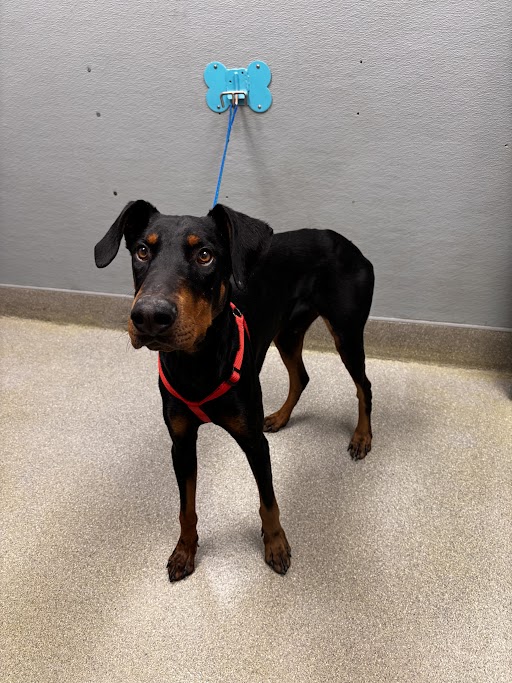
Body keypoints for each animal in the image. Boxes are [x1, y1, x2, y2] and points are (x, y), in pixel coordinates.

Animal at [94, 201, 374, 580]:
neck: (196, 365)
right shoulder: (181, 443)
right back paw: (280, 417)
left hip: (346, 332)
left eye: (205, 255)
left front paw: (276, 545)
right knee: (301, 376)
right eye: (142, 251)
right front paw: (184, 551)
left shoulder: (254, 442)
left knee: (364, 387)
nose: (150, 316)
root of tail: (347, 244)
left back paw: (362, 437)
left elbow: (268, 502)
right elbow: (186, 508)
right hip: (287, 331)